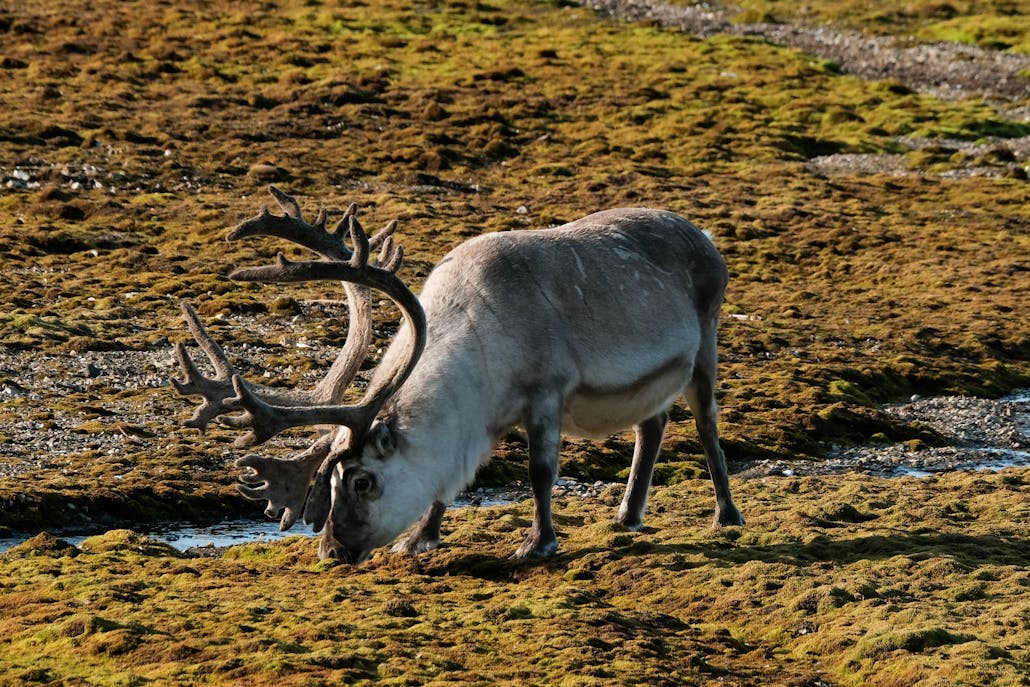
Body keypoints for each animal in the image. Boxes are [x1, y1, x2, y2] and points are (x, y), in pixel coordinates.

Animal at [172, 186, 744, 564]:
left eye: (362, 480)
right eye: (326, 482)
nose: (330, 552)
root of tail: (706, 237)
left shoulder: (546, 394)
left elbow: (540, 473)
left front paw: (536, 544)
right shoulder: (478, 423)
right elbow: (447, 481)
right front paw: (418, 539)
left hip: (706, 347)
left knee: (706, 425)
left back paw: (727, 515)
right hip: (651, 383)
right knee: (652, 424)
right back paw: (627, 516)